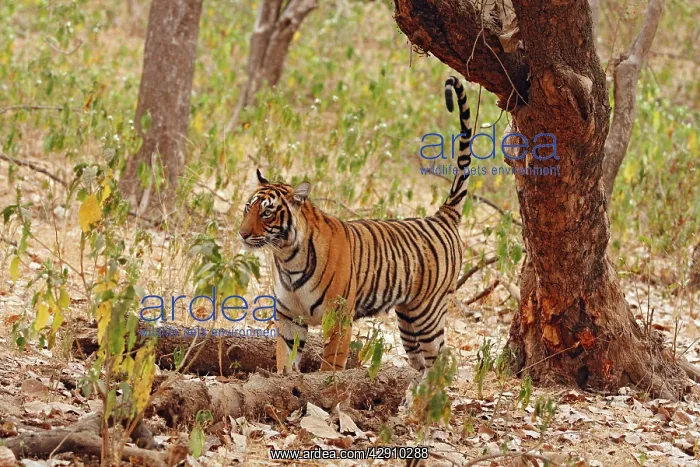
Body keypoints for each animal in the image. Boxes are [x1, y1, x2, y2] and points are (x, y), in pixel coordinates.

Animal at [238, 76, 473, 373]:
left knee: (441, 364)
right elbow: (285, 361)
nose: (242, 233)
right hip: (408, 321)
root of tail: (441, 216)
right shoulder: (289, 319)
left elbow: (330, 367)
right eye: (248, 208)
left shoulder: (337, 318)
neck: (286, 257)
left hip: (427, 314)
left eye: (267, 213)